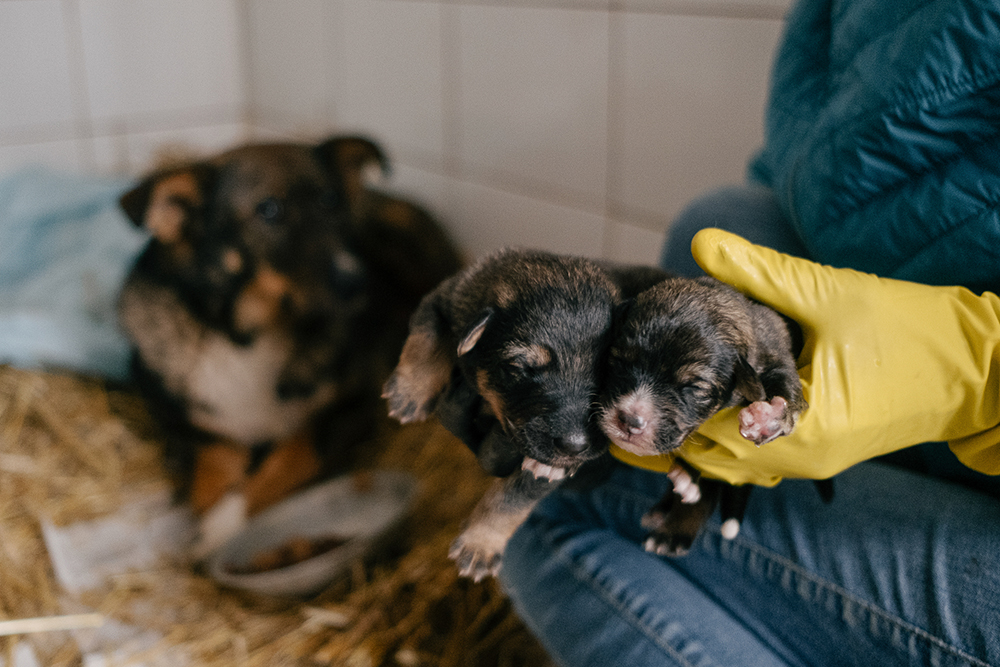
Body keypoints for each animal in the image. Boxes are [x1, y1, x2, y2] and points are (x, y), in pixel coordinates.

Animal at [119, 133, 462, 556]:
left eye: (331, 201)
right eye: (269, 210)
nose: (356, 282)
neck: (250, 340)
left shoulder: (356, 406)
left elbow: (293, 454)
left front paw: (226, 524)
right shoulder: (175, 418)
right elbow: (214, 457)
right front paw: (210, 514)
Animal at [596, 276, 808, 560]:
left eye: (695, 387)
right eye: (618, 361)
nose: (630, 420)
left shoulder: (774, 351)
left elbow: (784, 381)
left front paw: (768, 418)